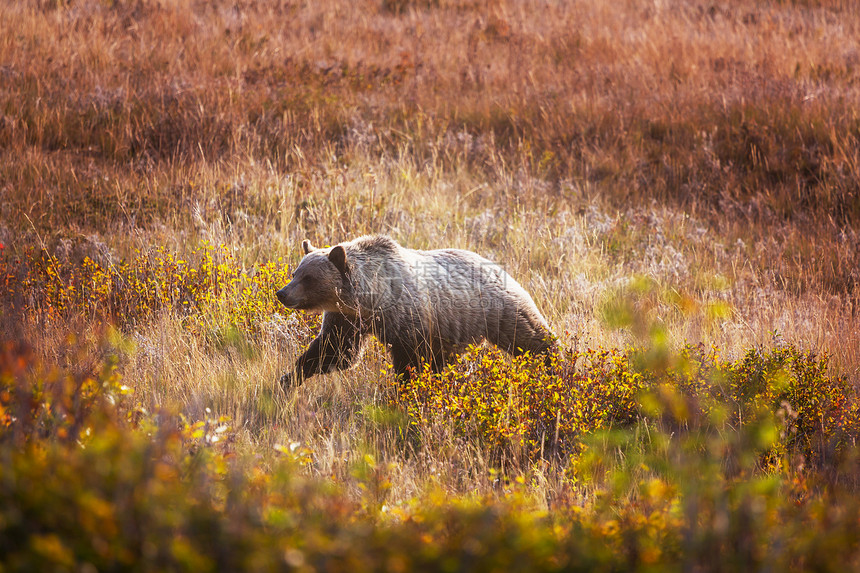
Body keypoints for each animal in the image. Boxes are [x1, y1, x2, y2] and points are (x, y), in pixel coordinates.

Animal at [278, 235, 556, 386]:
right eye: (295, 273)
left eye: (309, 278)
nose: (282, 293)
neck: (370, 299)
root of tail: (499, 267)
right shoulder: (347, 318)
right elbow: (335, 351)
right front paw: (290, 377)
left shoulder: (407, 317)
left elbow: (410, 360)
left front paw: (407, 388)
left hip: (497, 310)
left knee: (531, 337)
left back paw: (553, 363)